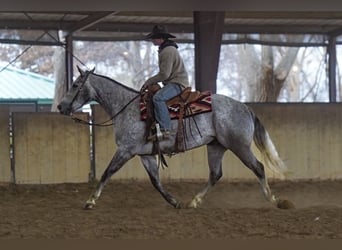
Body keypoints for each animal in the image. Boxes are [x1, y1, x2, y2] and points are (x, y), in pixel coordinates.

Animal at [57, 67, 292, 210]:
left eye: (76, 85)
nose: (60, 107)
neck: (127, 107)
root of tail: (245, 107)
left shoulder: (126, 150)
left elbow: (107, 173)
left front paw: (90, 201)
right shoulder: (145, 154)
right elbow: (155, 181)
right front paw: (174, 201)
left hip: (239, 146)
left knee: (258, 168)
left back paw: (274, 200)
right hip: (216, 146)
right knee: (215, 174)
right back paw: (194, 201)